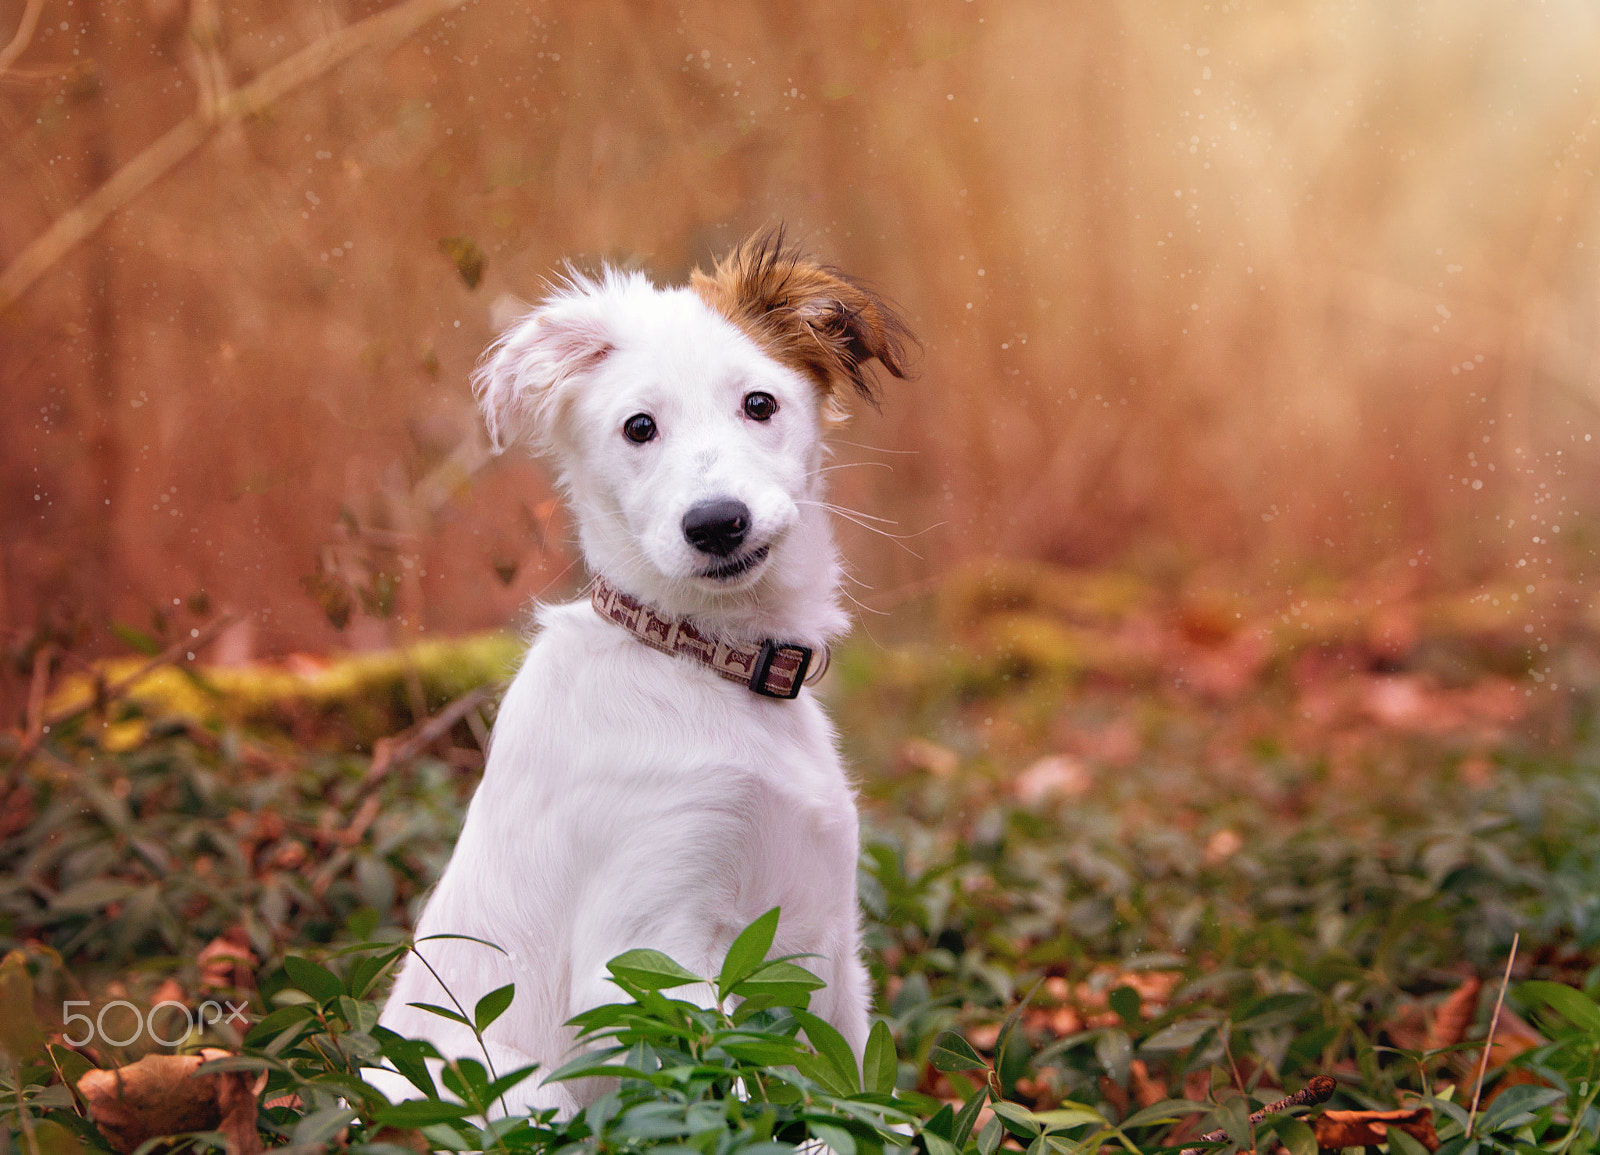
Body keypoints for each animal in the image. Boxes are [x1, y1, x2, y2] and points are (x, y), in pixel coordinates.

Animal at [366, 228, 908, 1113]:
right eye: (639, 426)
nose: (716, 524)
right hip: (518, 1090)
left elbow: (857, 1096)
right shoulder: (640, 962)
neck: (700, 663)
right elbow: (734, 1098)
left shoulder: (826, 948)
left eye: (760, 404)